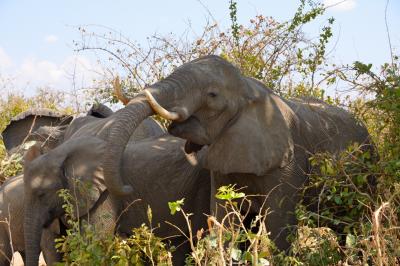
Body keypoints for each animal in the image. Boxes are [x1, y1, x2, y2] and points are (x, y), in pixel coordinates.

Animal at [98, 55, 374, 250]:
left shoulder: (290, 162)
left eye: (212, 95)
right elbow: (224, 220)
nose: (127, 188)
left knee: (360, 222)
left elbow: (278, 226)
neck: (249, 89)